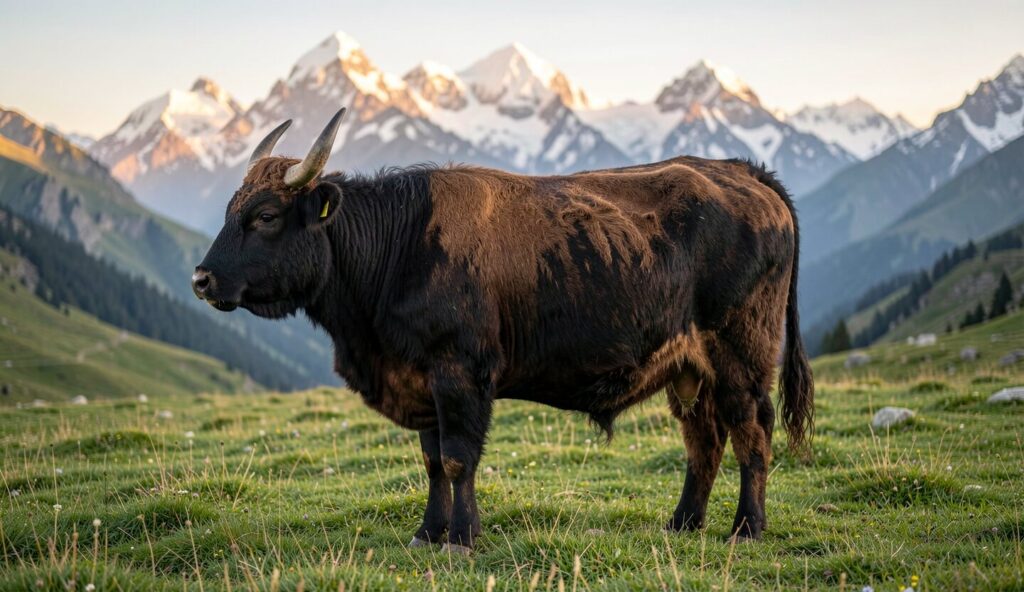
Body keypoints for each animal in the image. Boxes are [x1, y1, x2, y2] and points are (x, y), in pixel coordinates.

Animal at [192, 108, 814, 553]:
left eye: (266, 216)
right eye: (228, 210)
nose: (200, 278)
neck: (401, 248)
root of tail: (740, 171)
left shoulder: (459, 373)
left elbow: (458, 458)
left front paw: (462, 538)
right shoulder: (420, 379)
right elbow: (431, 461)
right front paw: (427, 533)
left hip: (741, 355)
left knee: (752, 434)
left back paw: (746, 529)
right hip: (689, 369)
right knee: (703, 441)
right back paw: (682, 524)